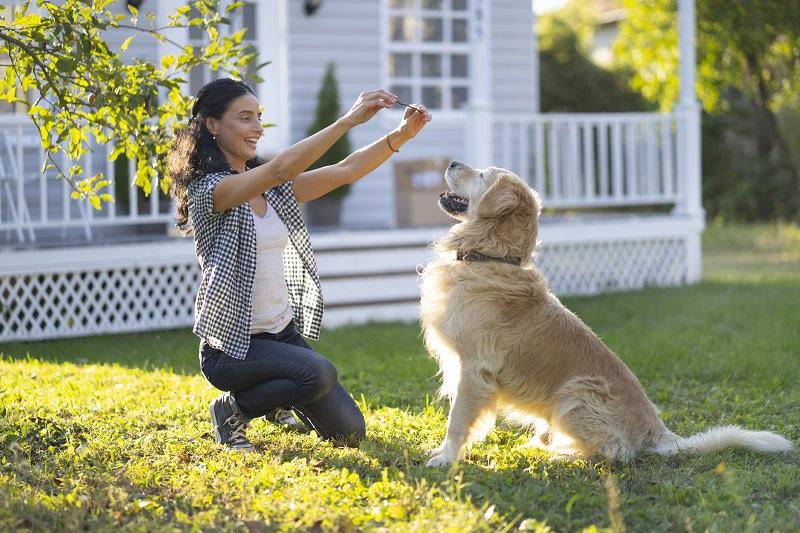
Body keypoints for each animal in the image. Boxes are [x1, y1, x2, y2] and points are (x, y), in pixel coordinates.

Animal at [422, 159, 792, 466]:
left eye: (482, 175)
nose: (452, 161)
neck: (490, 258)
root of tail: (657, 431)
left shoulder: (474, 368)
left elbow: (457, 420)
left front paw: (446, 459)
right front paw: (441, 453)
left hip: (574, 395)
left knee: (616, 452)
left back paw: (563, 456)